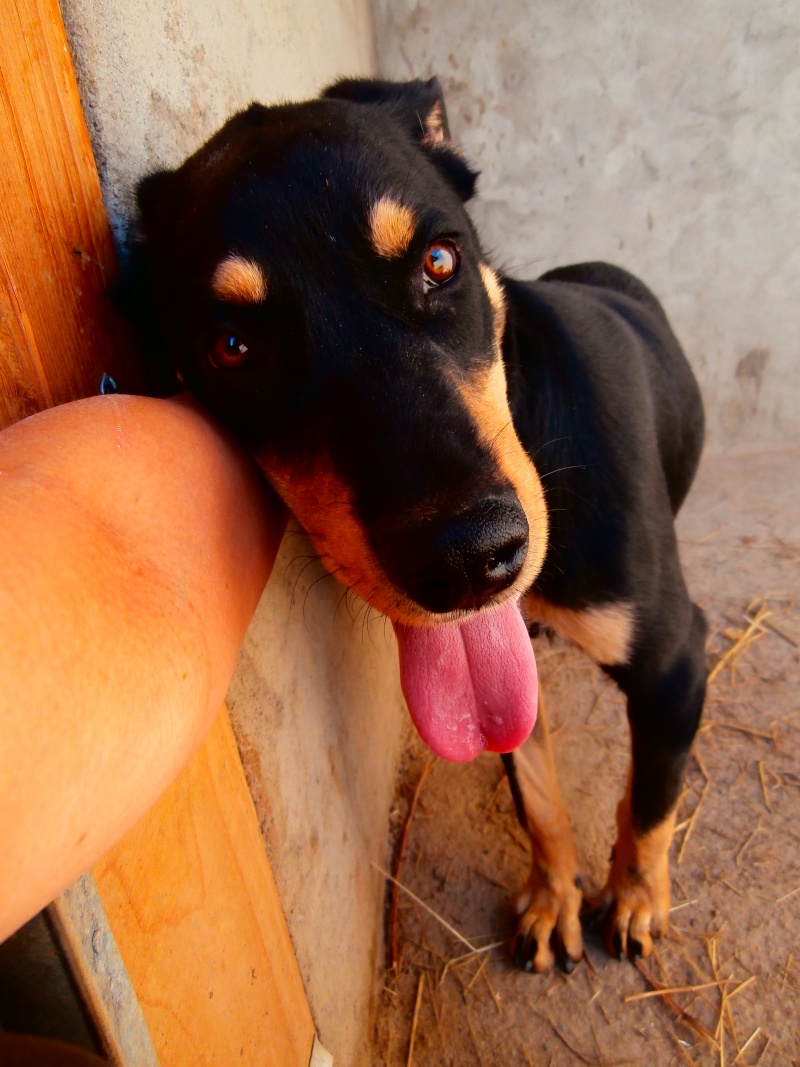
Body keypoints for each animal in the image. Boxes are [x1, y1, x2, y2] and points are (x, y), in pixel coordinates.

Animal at [118, 75, 708, 977]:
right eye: (233, 346)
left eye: (439, 261)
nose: (466, 559)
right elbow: (537, 795)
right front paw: (552, 896)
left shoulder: (675, 660)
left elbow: (649, 800)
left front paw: (636, 898)